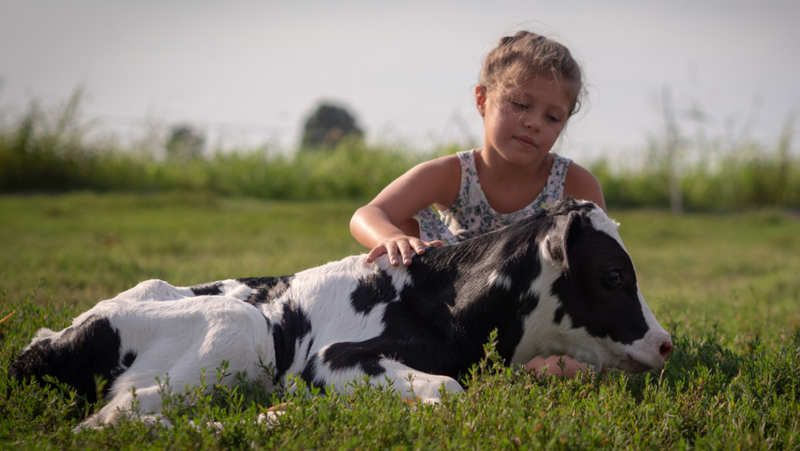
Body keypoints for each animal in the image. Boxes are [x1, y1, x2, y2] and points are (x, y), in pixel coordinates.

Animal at [10, 200, 676, 430]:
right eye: (614, 275)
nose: (666, 342)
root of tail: (46, 340)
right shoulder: (333, 359)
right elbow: (450, 391)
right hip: (242, 328)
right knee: (111, 421)